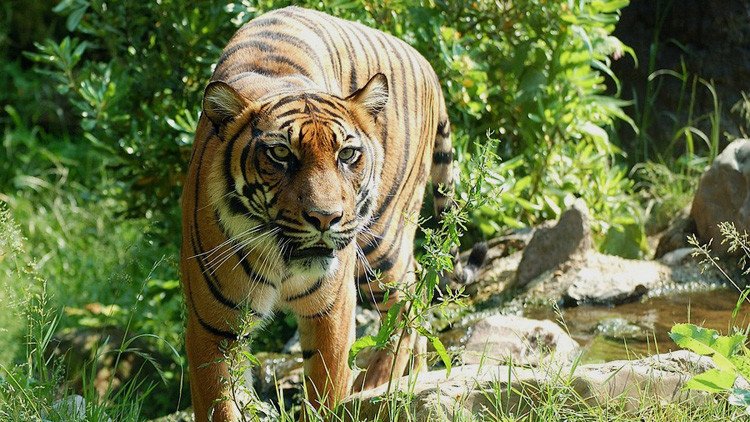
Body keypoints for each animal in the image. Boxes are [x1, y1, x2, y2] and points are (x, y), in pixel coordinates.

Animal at [180, 6, 476, 421]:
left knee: (405, 301)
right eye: (281, 154)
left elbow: (325, 392)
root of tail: (426, 63)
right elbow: (219, 405)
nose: (325, 218)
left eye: (347, 154)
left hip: (381, 241)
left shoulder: (331, 311)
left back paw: (377, 387)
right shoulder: (211, 327)